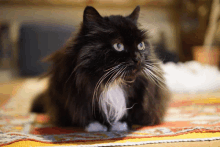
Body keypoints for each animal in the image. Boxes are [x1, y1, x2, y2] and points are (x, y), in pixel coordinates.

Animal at [30, 6, 170, 132]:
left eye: (140, 45)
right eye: (118, 46)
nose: (138, 58)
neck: (112, 81)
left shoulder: (140, 92)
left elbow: (130, 108)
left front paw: (121, 125)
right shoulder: (80, 94)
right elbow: (87, 111)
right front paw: (95, 125)